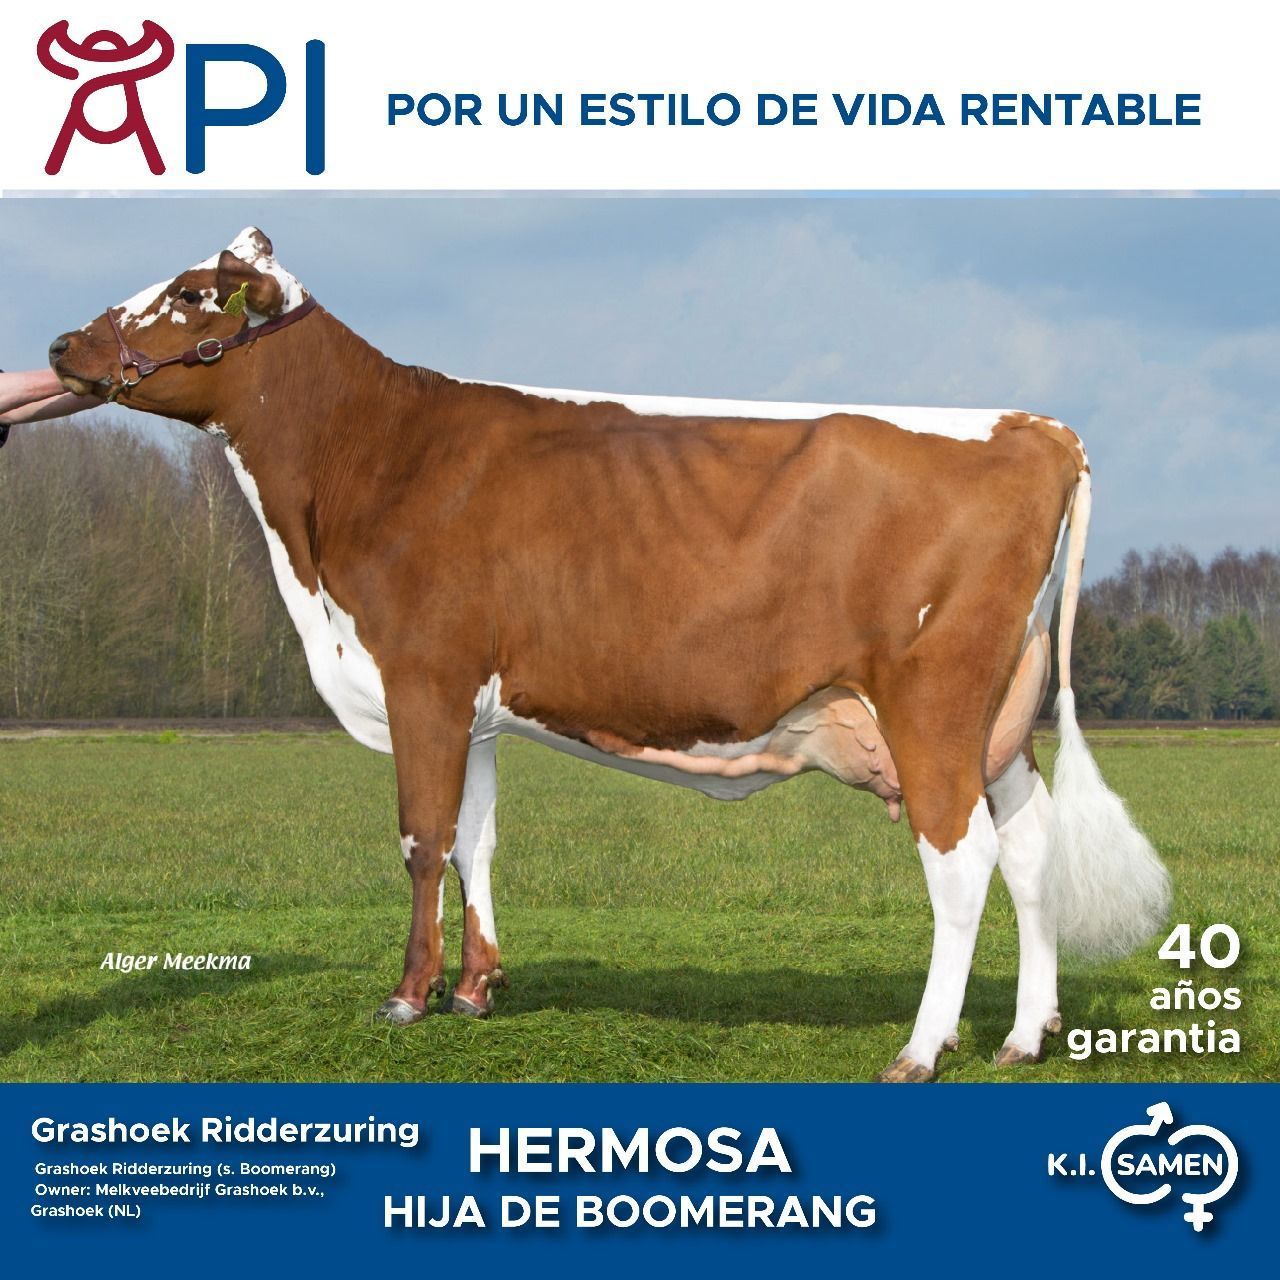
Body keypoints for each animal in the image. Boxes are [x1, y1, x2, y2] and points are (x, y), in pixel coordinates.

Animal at [46, 227, 1171, 1081]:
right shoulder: (475, 703)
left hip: (932, 704)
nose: (61, 343)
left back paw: (922, 1048)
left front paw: (407, 997)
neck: (362, 471)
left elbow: (420, 837)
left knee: (961, 859)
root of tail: (1034, 427)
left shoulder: (421, 678)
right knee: (1027, 848)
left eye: (190, 294)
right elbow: (476, 838)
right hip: (1001, 718)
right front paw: (475, 989)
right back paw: (1023, 1034)